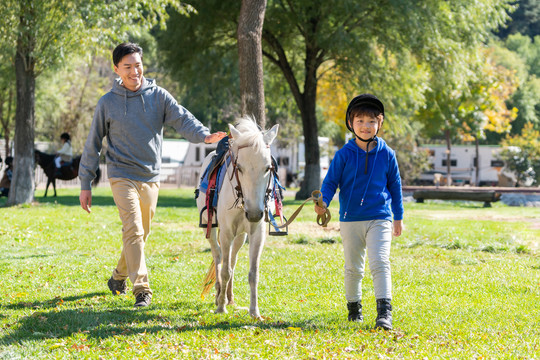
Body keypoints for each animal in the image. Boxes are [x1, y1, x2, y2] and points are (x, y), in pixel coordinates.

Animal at [196, 116, 278, 320]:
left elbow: (253, 273)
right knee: (218, 257)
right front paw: (220, 307)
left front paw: (254, 311)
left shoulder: (257, 234)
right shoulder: (226, 233)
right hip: (211, 228)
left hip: (241, 236)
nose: (255, 213)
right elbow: (224, 270)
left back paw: (230, 298)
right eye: (239, 168)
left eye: (268, 168)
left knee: (232, 260)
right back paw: (220, 295)